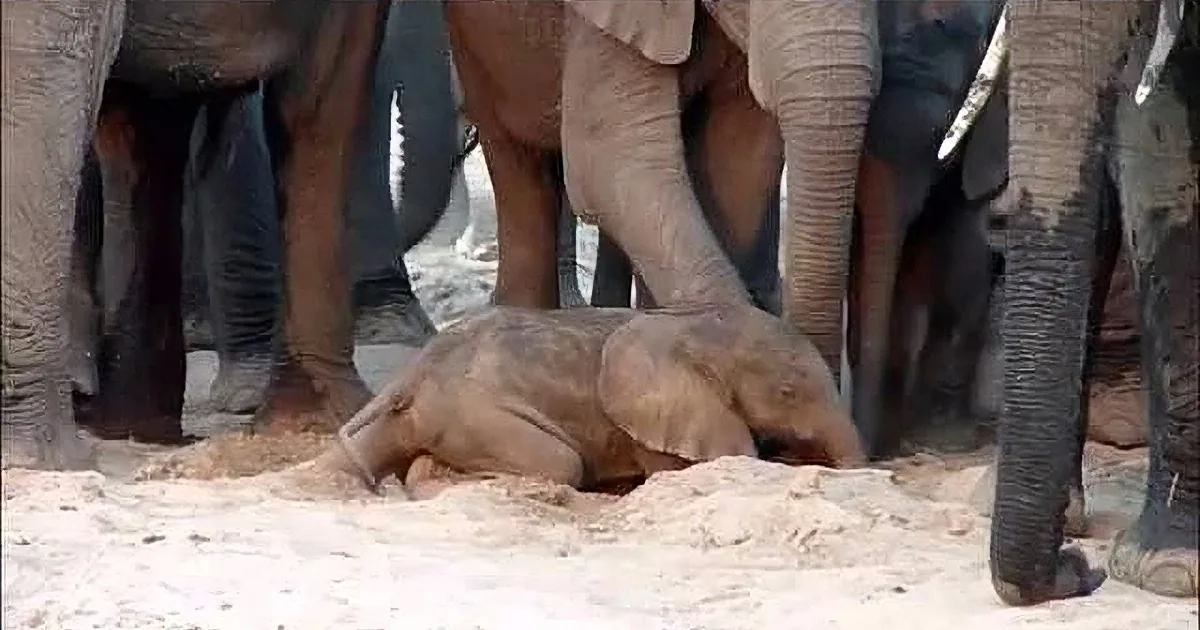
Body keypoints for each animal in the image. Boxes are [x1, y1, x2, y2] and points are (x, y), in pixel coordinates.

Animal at [329, 304, 865, 495]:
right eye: (788, 393)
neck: (696, 323)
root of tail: (418, 368)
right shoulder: (656, 418)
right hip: (475, 414)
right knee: (561, 464)